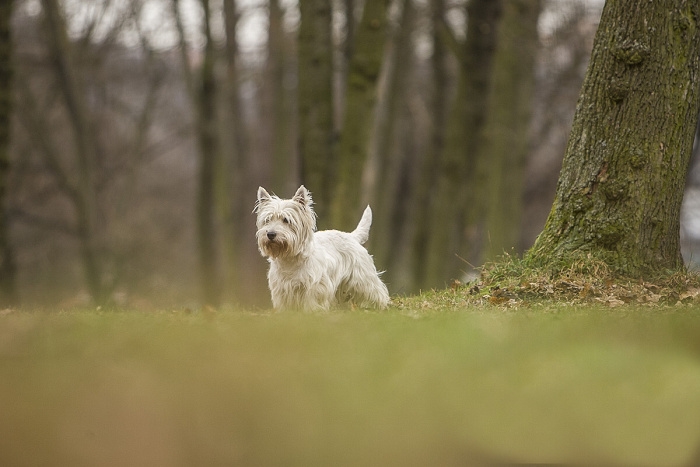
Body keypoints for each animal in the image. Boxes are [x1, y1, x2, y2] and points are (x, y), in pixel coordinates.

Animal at [256, 186, 392, 310]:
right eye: (268, 220)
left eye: (286, 220)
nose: (270, 234)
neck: (290, 260)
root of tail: (352, 236)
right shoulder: (281, 289)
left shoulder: (315, 286)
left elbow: (311, 302)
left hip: (362, 277)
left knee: (376, 291)